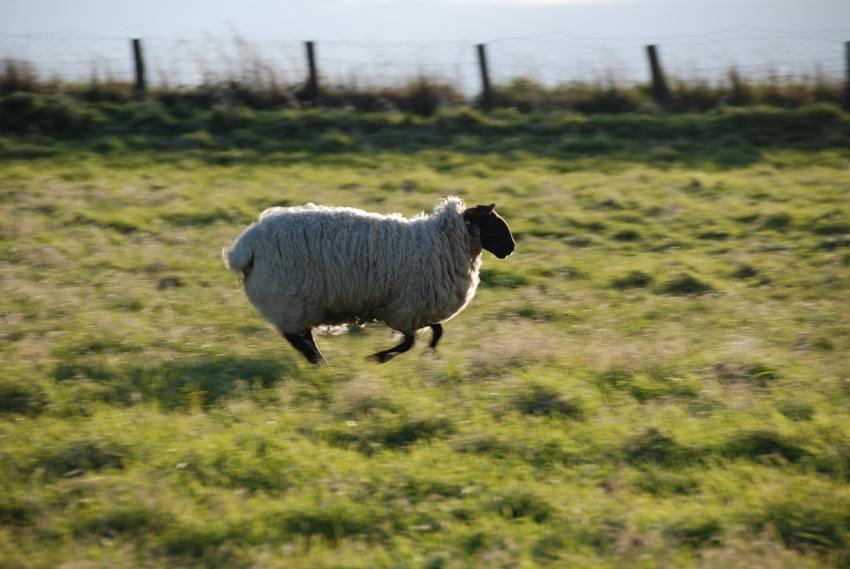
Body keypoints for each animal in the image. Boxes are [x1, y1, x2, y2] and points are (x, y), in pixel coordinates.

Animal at [222, 195, 512, 364]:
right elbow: (409, 342)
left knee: (301, 337)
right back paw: (320, 363)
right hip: (290, 299)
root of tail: (246, 245)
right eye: (493, 223)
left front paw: (428, 353)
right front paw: (377, 357)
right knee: (296, 337)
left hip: (296, 303)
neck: (443, 243)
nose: (511, 247)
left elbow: (437, 331)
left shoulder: (418, 310)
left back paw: (319, 362)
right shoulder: (406, 308)